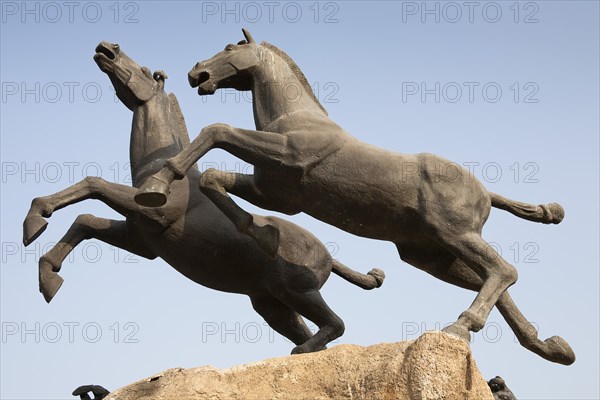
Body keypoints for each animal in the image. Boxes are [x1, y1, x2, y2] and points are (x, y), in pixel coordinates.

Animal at [22, 41, 384, 354]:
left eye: (145, 70)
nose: (108, 49)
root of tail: (330, 257)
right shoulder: (142, 241)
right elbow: (86, 221)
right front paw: (47, 275)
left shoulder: (155, 215)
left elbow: (93, 184)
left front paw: (36, 221)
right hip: (271, 304)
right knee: (313, 332)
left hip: (296, 291)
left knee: (335, 325)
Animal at [136, 28, 576, 366]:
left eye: (229, 48)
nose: (196, 73)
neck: (294, 119)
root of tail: (486, 191)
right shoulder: (275, 194)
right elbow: (214, 179)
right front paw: (262, 234)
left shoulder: (288, 157)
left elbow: (217, 130)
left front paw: (156, 188)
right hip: (432, 255)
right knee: (495, 280)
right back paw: (548, 347)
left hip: (455, 236)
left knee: (504, 271)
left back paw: (462, 325)